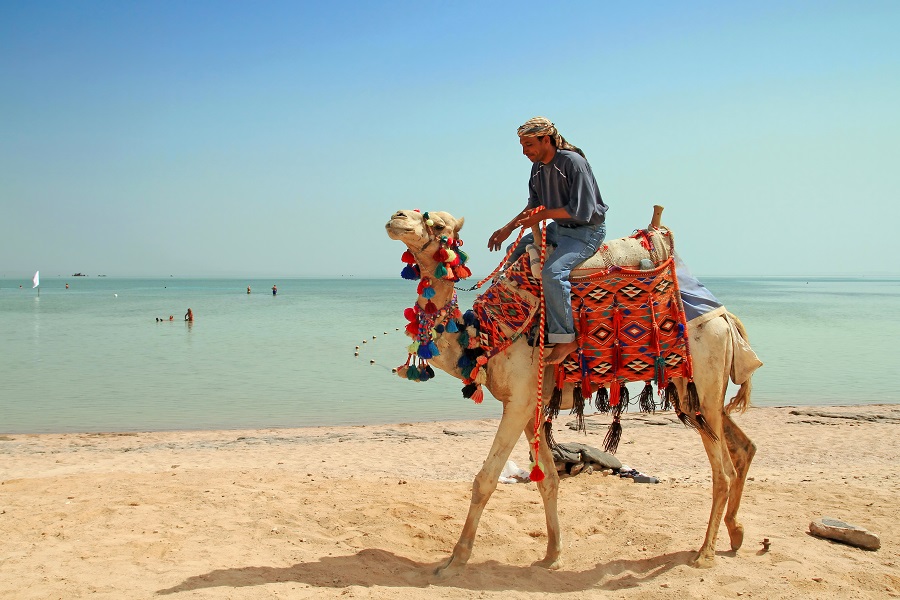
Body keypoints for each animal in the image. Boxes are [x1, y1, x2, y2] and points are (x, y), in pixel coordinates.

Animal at [386, 207, 760, 576]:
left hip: (703, 381)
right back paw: (737, 534)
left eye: (438, 225)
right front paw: (552, 555)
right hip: (691, 392)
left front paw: (454, 561)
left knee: (722, 472)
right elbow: (548, 480)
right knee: (743, 448)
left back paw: (705, 554)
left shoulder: (519, 400)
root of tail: (726, 318)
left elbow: (485, 480)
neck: (485, 336)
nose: (396, 217)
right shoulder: (531, 407)